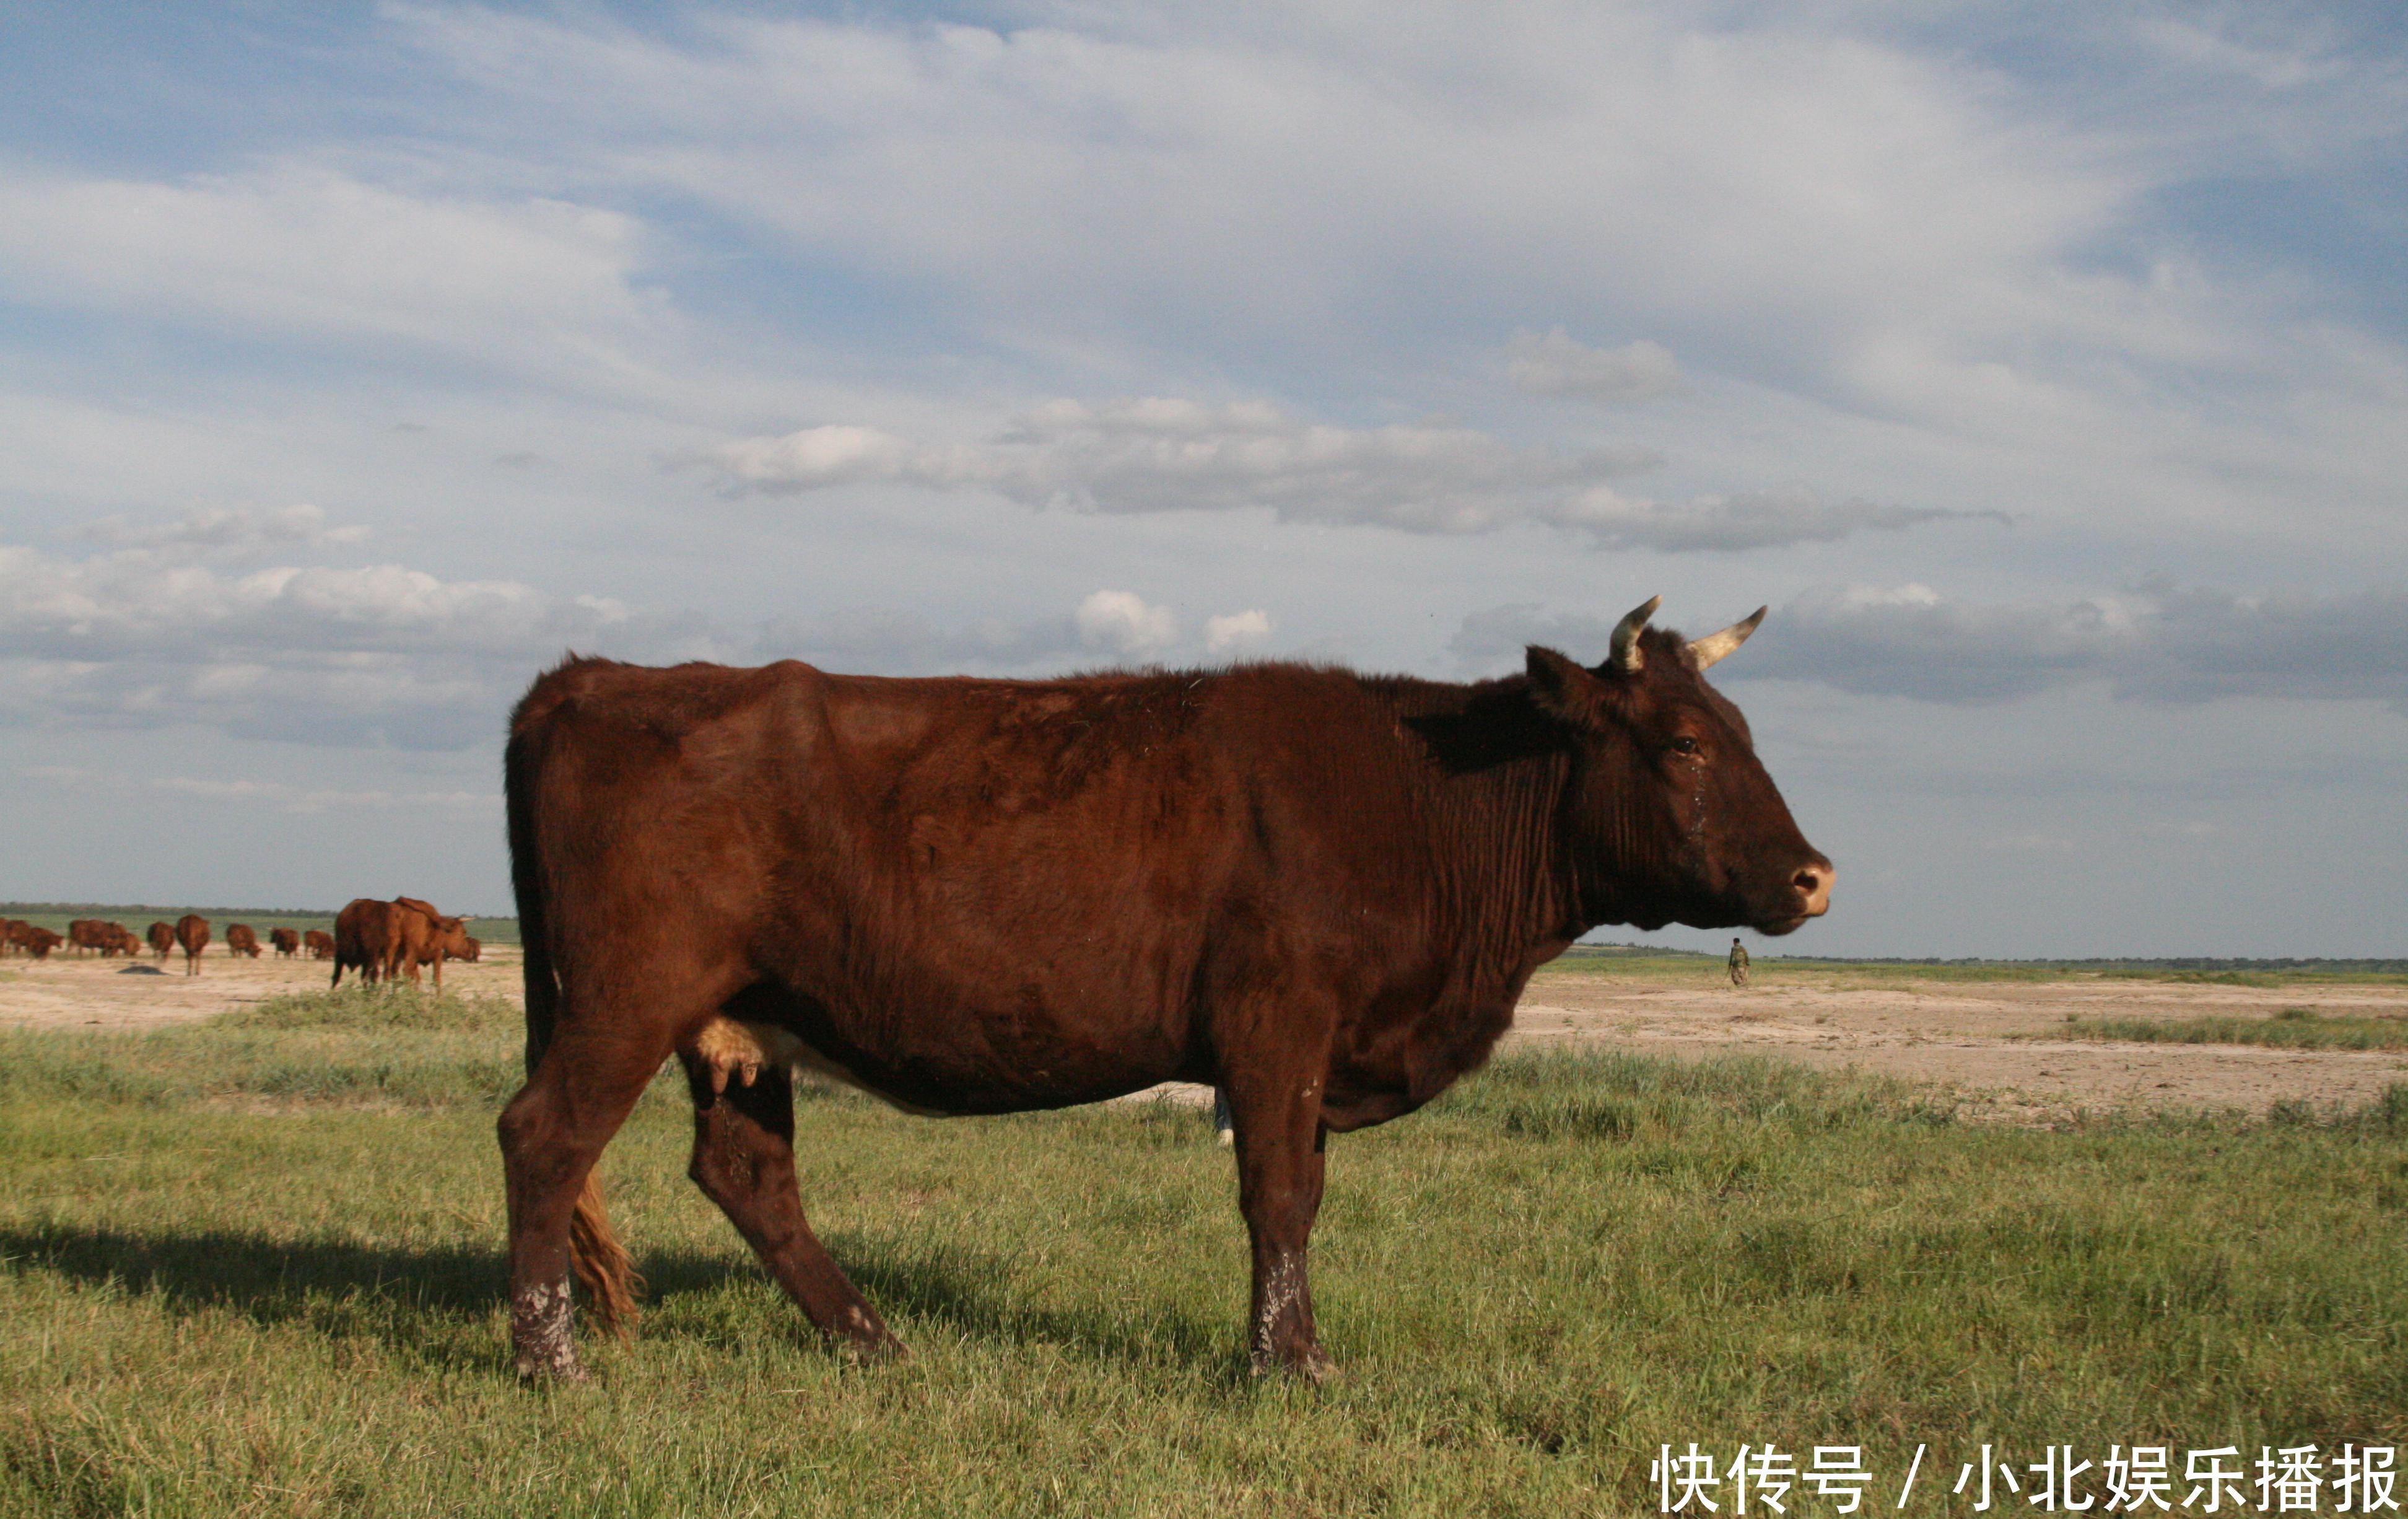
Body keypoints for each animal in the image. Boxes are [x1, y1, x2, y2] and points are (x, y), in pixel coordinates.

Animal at [498, 599, 1830, 1386]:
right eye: (1682, 742)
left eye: (1737, 725)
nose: (1812, 875)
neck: (1419, 792)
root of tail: (590, 675)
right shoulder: (1277, 1020)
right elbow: (1279, 1195)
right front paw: (1288, 1364)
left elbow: (1301, 1193)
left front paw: (1286, 1349)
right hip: (630, 990)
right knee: (545, 1135)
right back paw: (551, 1361)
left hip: (741, 1015)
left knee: (745, 1171)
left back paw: (874, 1340)